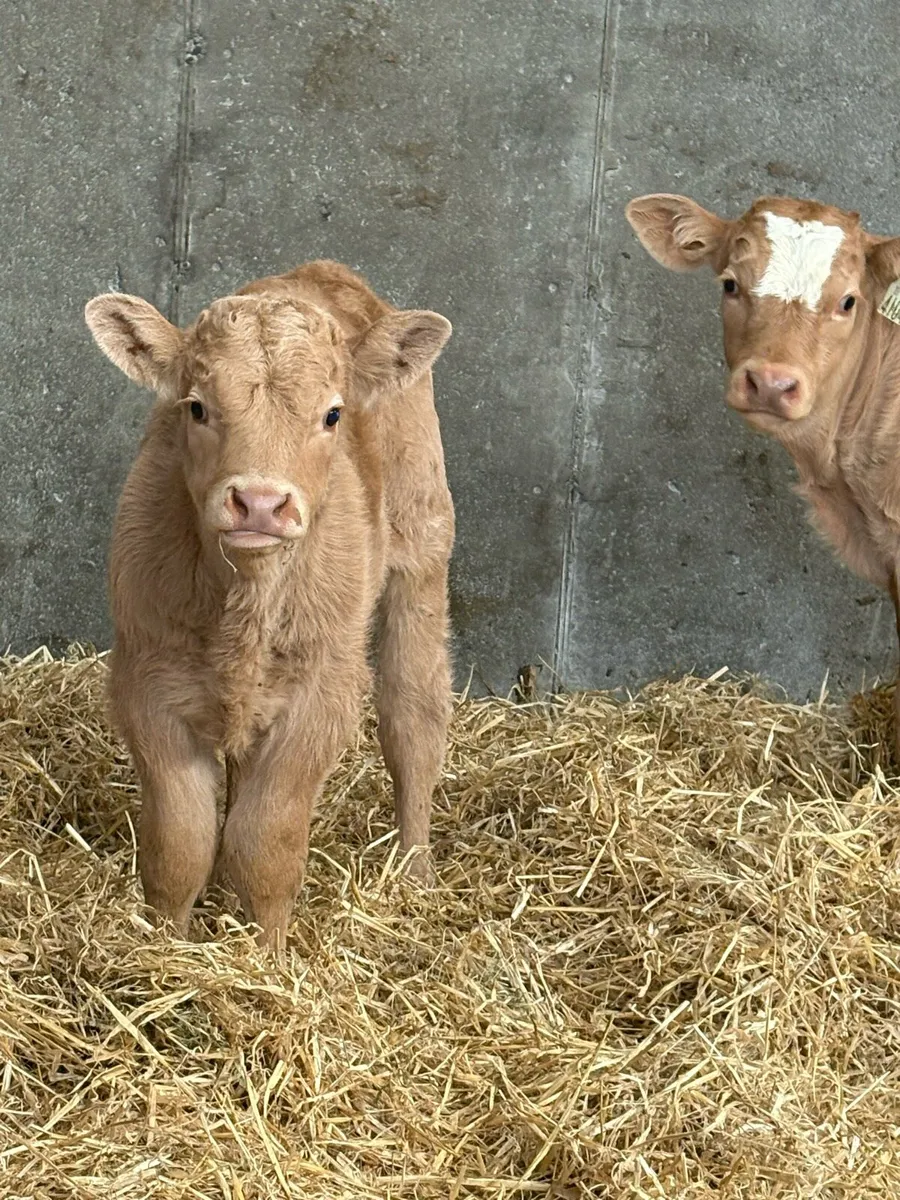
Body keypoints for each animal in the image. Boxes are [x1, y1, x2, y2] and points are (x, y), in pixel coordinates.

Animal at [84, 260, 455, 950]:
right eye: (196, 407)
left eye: (332, 415)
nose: (259, 502)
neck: (244, 605)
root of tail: (324, 272)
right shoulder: (146, 685)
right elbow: (180, 844)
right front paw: (165, 949)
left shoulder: (320, 698)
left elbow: (266, 844)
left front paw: (269, 957)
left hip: (423, 548)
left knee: (413, 718)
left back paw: (416, 876)